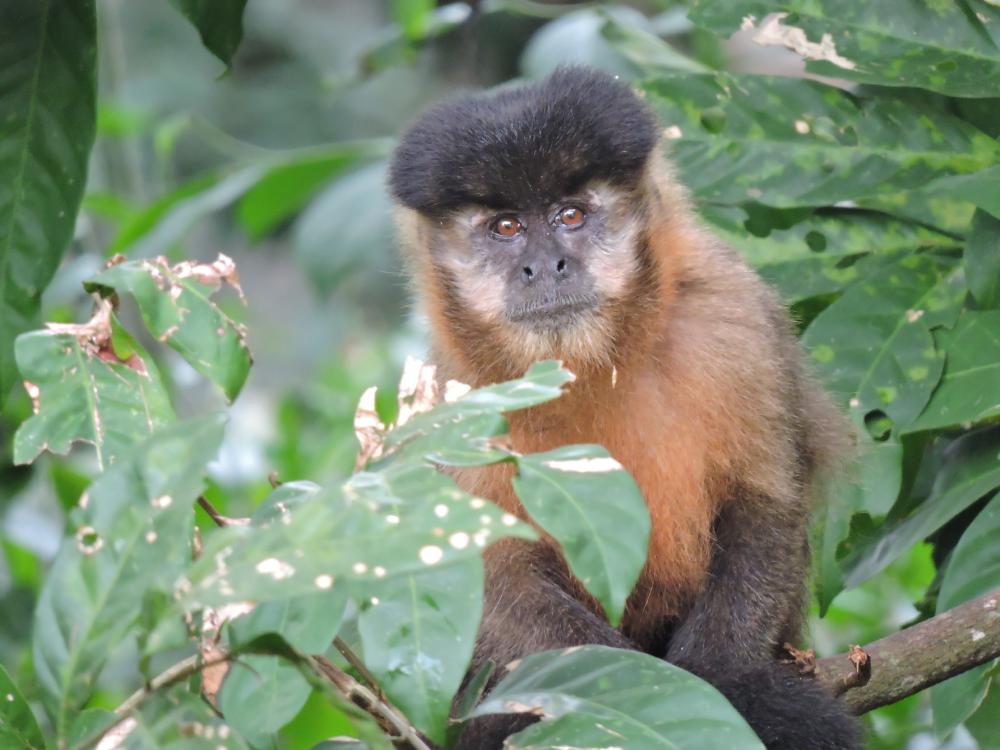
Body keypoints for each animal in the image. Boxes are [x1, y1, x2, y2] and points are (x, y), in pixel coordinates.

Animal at [388, 67, 862, 750]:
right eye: (505, 228)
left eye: (570, 215)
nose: (544, 266)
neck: (594, 363)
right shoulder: (455, 394)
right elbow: (494, 573)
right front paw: (639, 697)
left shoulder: (733, 310)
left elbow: (766, 498)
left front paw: (728, 690)